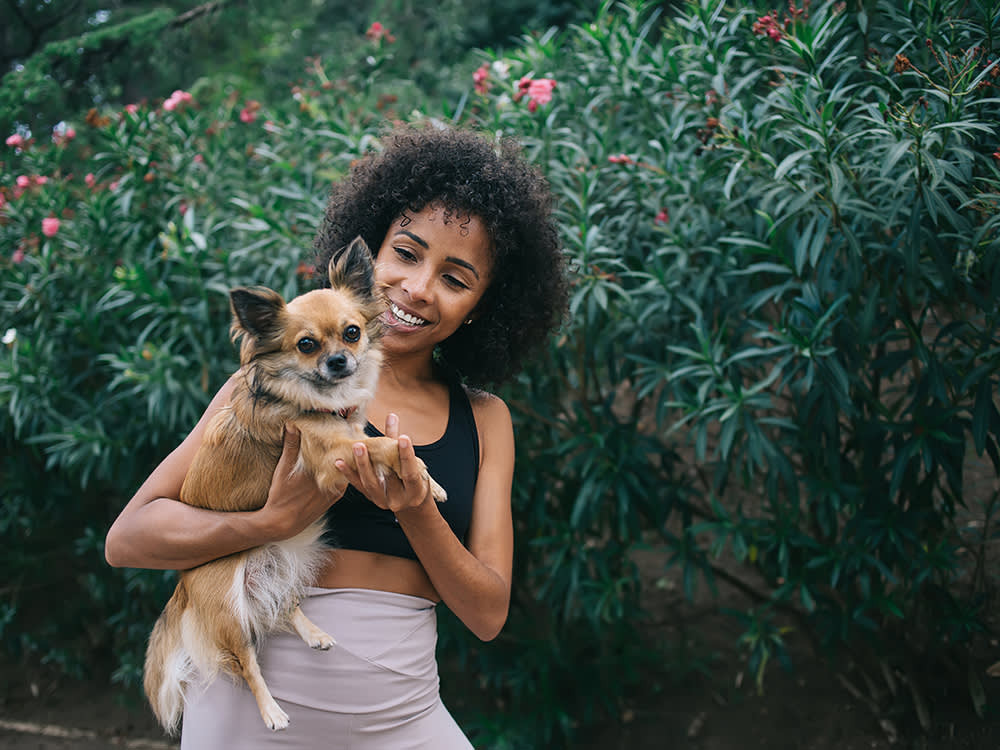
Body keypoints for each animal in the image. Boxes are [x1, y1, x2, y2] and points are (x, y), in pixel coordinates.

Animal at [144, 238, 446, 736]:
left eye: (352, 333)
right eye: (306, 345)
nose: (339, 361)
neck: (319, 400)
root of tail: (182, 589)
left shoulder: (351, 436)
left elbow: (384, 444)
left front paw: (429, 483)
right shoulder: (333, 454)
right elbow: (384, 447)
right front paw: (421, 476)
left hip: (282, 564)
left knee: (281, 607)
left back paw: (315, 633)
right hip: (228, 606)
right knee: (246, 660)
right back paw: (272, 712)